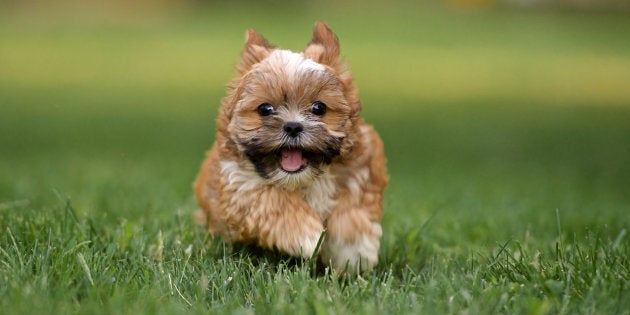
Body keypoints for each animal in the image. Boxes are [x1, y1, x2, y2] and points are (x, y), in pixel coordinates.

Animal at [195, 22, 388, 274]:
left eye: (319, 108)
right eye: (265, 109)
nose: (293, 126)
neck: (305, 180)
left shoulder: (362, 170)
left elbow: (352, 208)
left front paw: (354, 252)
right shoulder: (240, 184)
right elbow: (272, 200)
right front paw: (308, 236)